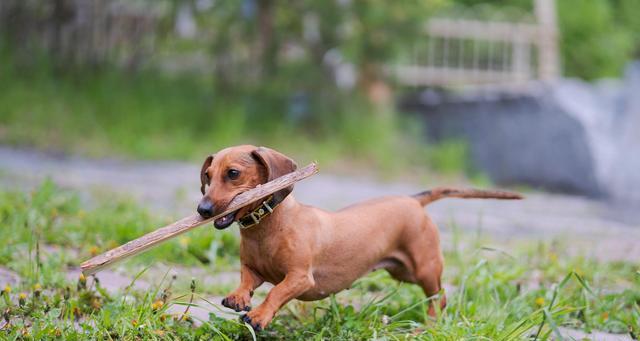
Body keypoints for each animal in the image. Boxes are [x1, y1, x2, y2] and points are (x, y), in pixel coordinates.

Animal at [198, 144, 524, 330]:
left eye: (233, 173)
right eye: (208, 176)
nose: (202, 210)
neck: (268, 227)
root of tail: (413, 200)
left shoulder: (300, 278)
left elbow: (276, 292)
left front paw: (260, 315)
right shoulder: (253, 269)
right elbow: (246, 280)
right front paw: (239, 297)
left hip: (425, 269)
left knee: (439, 298)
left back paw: (429, 325)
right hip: (402, 271)